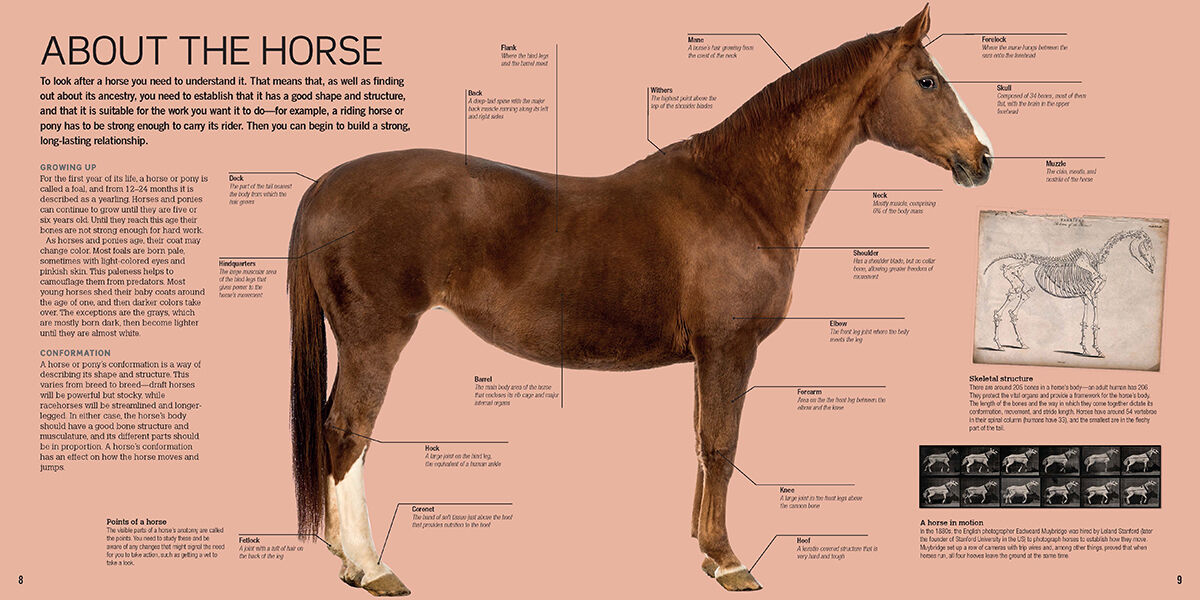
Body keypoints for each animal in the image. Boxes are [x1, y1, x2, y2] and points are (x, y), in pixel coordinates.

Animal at [287, 5, 991, 595]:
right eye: (927, 81)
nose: (981, 159)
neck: (740, 190)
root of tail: (326, 184)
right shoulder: (729, 347)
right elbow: (722, 445)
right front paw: (728, 562)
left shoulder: (707, 355)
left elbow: (702, 442)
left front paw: (705, 551)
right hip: (376, 338)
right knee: (348, 430)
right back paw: (372, 567)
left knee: (331, 430)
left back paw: (346, 559)